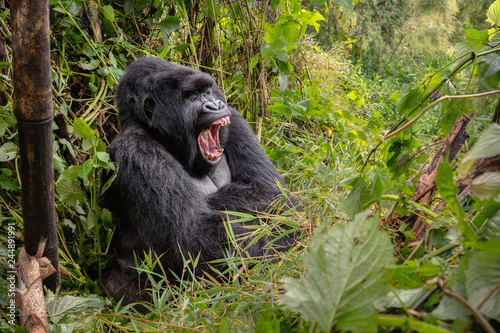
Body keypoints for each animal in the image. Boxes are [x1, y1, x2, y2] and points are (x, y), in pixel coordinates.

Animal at [98, 56, 296, 306]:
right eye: (192, 97)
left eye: (207, 91)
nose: (215, 105)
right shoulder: (135, 151)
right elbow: (198, 237)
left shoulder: (236, 120)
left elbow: (271, 193)